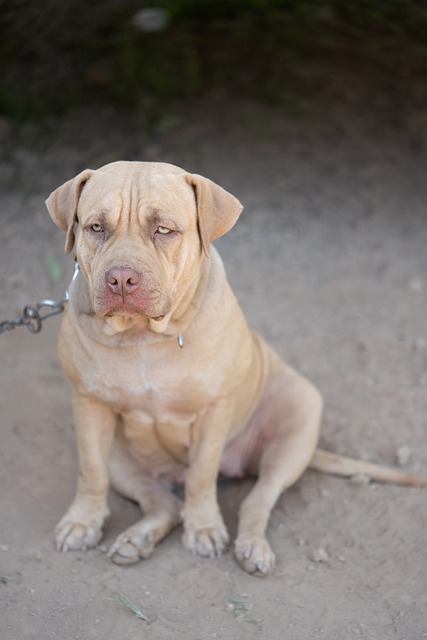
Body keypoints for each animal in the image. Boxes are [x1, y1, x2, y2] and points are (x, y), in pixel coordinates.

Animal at [45, 160, 426, 576]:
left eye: (164, 230)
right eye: (96, 227)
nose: (121, 278)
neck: (143, 336)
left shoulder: (215, 411)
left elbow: (201, 476)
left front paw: (204, 527)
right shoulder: (89, 405)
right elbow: (91, 470)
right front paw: (83, 522)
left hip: (295, 421)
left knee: (257, 499)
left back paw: (252, 548)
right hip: (123, 459)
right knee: (164, 503)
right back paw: (136, 540)